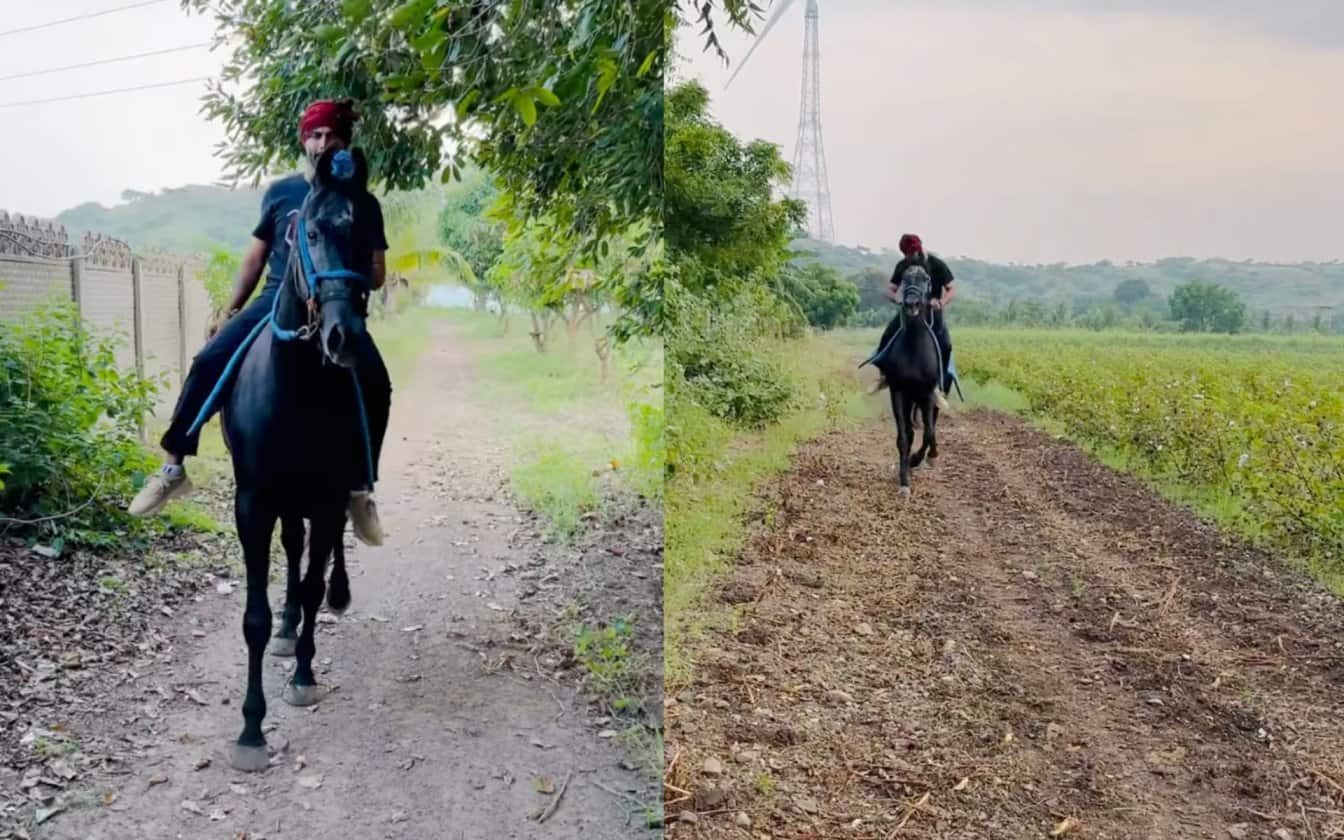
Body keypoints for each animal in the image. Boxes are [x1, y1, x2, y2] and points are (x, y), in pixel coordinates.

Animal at [865, 264, 940, 494]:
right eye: (905, 278)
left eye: (925, 279)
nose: (911, 303)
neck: (914, 348)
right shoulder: (898, 392)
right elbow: (904, 438)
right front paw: (904, 480)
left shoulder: (927, 394)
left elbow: (928, 432)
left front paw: (919, 459)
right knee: (909, 430)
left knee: (928, 428)